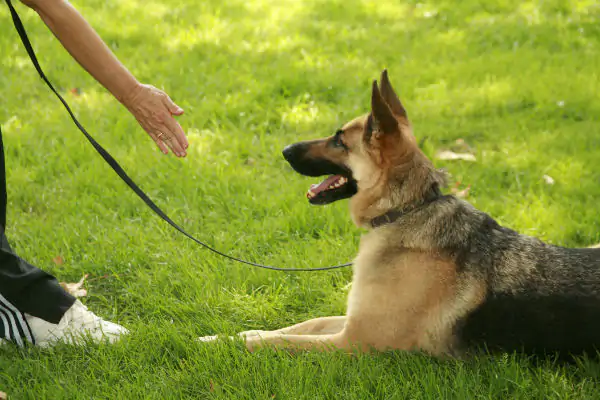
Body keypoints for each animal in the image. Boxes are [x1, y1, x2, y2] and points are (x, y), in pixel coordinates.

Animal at [200, 70, 600, 358]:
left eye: (339, 141)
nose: (284, 150)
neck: (405, 210)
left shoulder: (354, 342)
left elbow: (280, 341)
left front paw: (225, 342)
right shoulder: (351, 321)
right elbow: (304, 324)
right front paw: (231, 332)